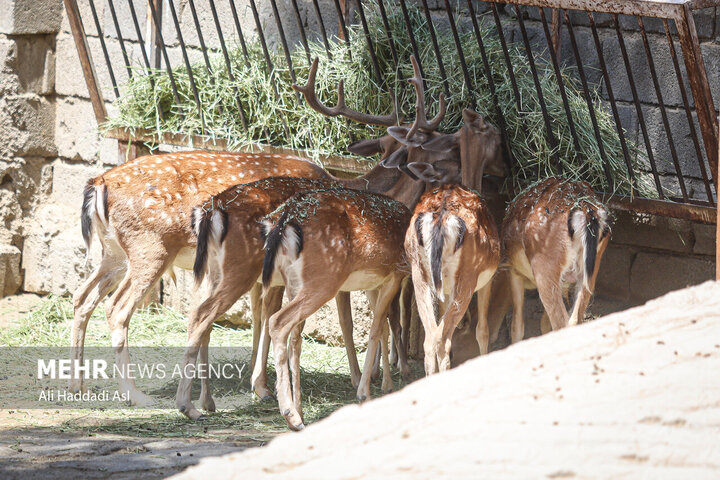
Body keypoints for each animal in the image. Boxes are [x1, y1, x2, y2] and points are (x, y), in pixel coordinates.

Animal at [262, 188, 414, 432]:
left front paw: (386, 385)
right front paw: (365, 393)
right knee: (277, 322)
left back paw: (300, 414)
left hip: (293, 283)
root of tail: (284, 221)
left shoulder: (375, 283)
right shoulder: (394, 274)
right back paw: (290, 414)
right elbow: (377, 329)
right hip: (324, 279)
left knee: (295, 339)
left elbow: (382, 327)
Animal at [404, 184, 500, 376]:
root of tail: (440, 216)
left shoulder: (445, 290)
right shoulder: (487, 280)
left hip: (417, 271)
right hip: (468, 276)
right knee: (442, 339)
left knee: (431, 337)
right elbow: (482, 330)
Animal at [500, 177, 612, 342]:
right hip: (591, 268)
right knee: (574, 319)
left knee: (561, 323)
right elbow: (544, 324)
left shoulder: (513, 271)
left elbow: (517, 327)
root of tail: (585, 210)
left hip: (545, 265)